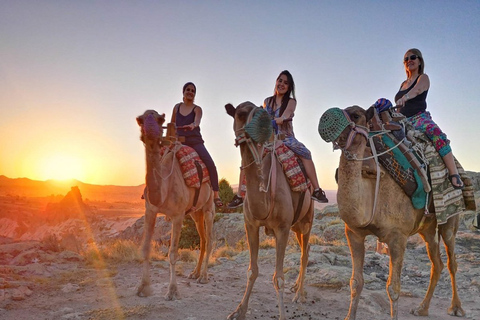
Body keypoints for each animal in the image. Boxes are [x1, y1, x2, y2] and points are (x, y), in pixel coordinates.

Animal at [134, 109, 215, 300]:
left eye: (160, 119)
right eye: (140, 120)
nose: (150, 132)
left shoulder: (178, 215)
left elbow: (172, 253)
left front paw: (172, 291)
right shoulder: (150, 210)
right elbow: (146, 248)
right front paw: (143, 287)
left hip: (209, 207)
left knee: (210, 239)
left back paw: (203, 276)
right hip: (195, 213)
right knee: (202, 239)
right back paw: (194, 273)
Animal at [226, 102, 316, 320]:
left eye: (263, 111)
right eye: (240, 113)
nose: (265, 126)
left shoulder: (282, 227)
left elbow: (279, 277)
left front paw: (282, 314)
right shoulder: (251, 224)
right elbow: (252, 270)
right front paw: (239, 311)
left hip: (307, 220)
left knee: (304, 253)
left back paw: (299, 295)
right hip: (296, 226)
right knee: (306, 248)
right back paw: (297, 288)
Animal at [318, 105, 464, 320]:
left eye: (356, 115)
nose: (326, 118)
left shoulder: (398, 236)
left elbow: (393, 288)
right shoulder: (353, 232)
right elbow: (355, 282)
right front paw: (349, 316)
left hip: (449, 220)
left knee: (452, 261)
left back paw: (456, 308)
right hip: (427, 228)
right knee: (437, 263)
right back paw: (422, 308)